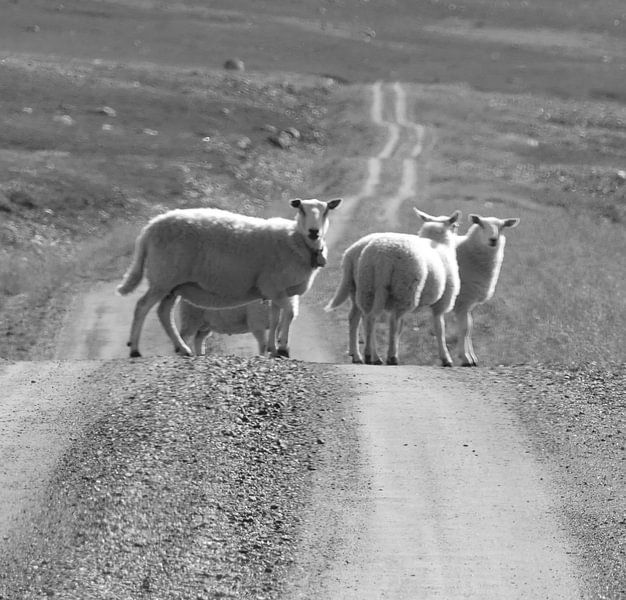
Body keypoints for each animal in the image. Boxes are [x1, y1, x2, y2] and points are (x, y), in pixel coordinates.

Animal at [117, 198, 342, 356]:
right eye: (301, 209)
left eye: (326, 210)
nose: (314, 231)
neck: (295, 240)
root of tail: (149, 228)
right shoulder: (273, 286)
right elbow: (288, 314)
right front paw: (283, 348)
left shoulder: (277, 290)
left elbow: (276, 318)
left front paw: (274, 349)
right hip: (163, 277)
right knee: (142, 307)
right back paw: (135, 349)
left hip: (173, 284)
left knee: (163, 313)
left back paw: (183, 349)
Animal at [326, 209, 458, 368]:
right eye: (455, 226)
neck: (439, 243)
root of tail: (382, 257)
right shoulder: (442, 302)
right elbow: (439, 329)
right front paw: (446, 358)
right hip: (404, 289)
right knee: (390, 321)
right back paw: (388, 357)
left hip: (364, 288)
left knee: (362, 318)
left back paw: (364, 355)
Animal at [450, 213, 520, 368]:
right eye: (481, 225)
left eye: (502, 227)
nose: (493, 239)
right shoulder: (462, 300)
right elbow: (464, 328)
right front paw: (465, 358)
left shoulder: (467, 303)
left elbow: (469, 327)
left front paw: (472, 357)